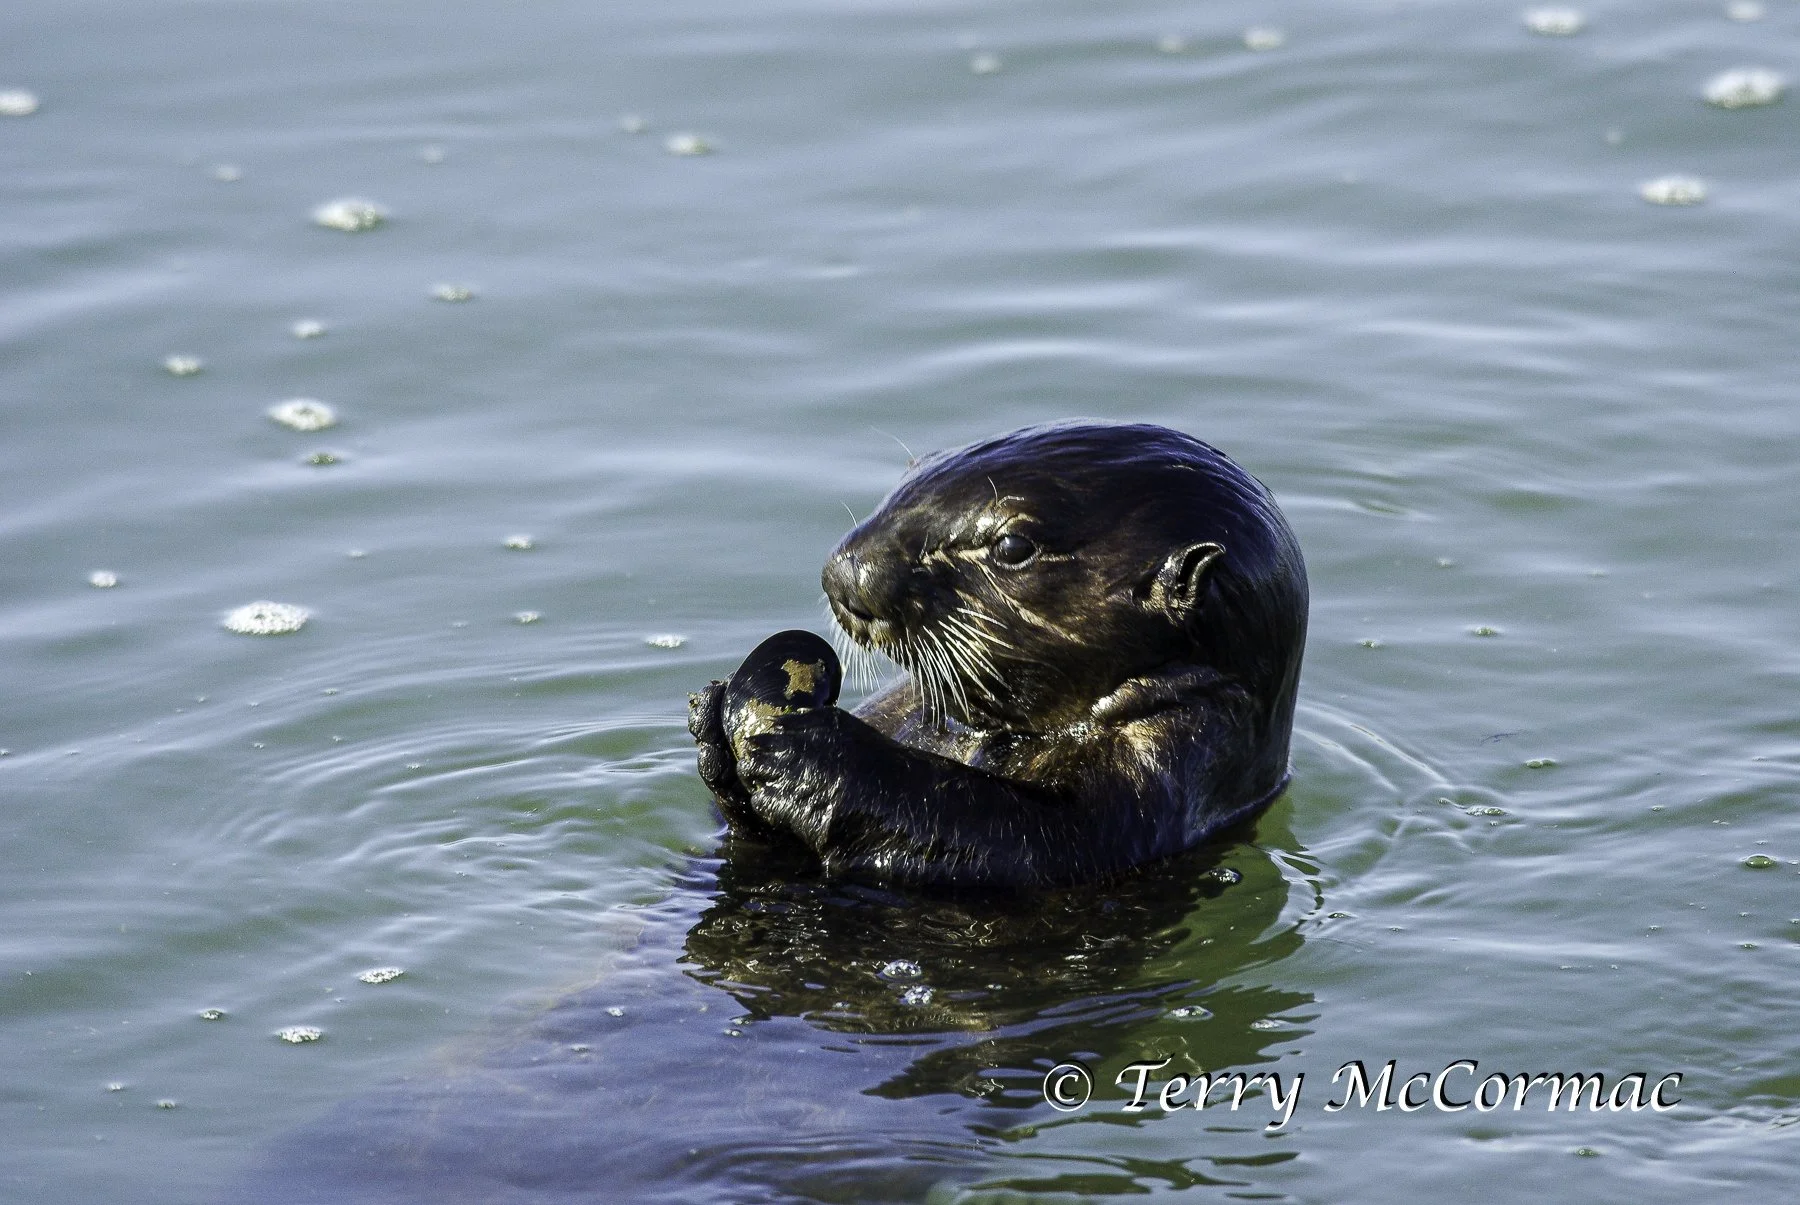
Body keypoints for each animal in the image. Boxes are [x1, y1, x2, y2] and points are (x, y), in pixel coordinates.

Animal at [688, 421, 1307, 890]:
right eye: (912, 470)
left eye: (1012, 546)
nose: (844, 574)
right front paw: (714, 716)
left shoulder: (1173, 769)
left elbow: (1024, 842)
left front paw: (806, 756)